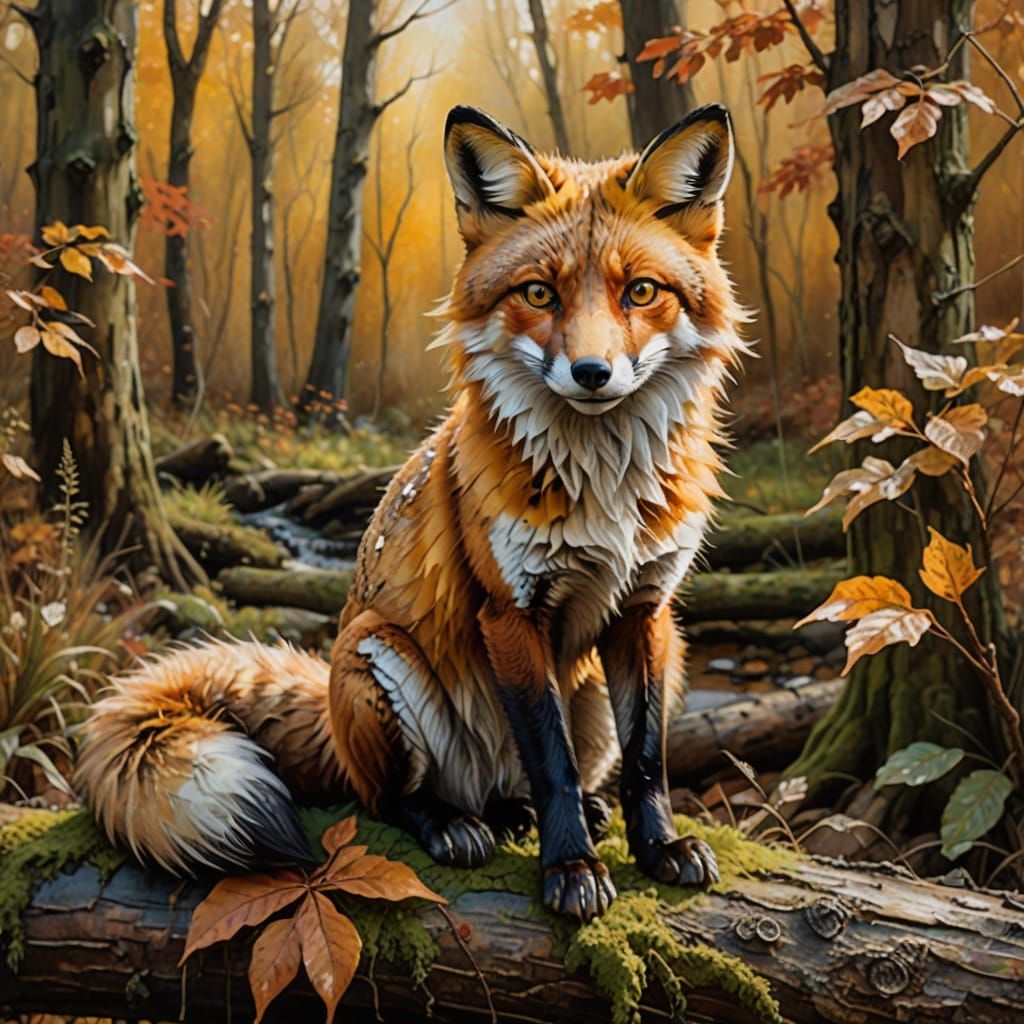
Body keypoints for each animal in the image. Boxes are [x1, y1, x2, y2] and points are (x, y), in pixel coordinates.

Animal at [75, 103, 747, 923]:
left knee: (538, 782)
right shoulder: (509, 611)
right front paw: (571, 868)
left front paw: (658, 849)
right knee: (398, 799)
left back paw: (547, 814)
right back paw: (459, 824)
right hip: (376, 654)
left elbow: (647, 760)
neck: (601, 489)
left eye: (641, 292)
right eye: (540, 295)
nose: (593, 373)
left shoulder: (647, 609)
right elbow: (549, 759)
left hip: (619, 681)